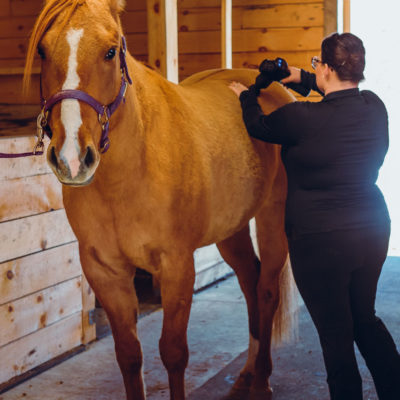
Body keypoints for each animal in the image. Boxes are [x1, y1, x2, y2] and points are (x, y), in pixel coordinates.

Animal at [21, 0, 296, 400]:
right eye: (42, 50)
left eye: (110, 51)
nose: (72, 158)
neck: (132, 172)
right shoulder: (105, 272)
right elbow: (129, 356)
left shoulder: (177, 266)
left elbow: (173, 353)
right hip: (232, 229)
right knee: (249, 280)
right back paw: (246, 376)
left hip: (273, 218)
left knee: (267, 290)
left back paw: (261, 383)